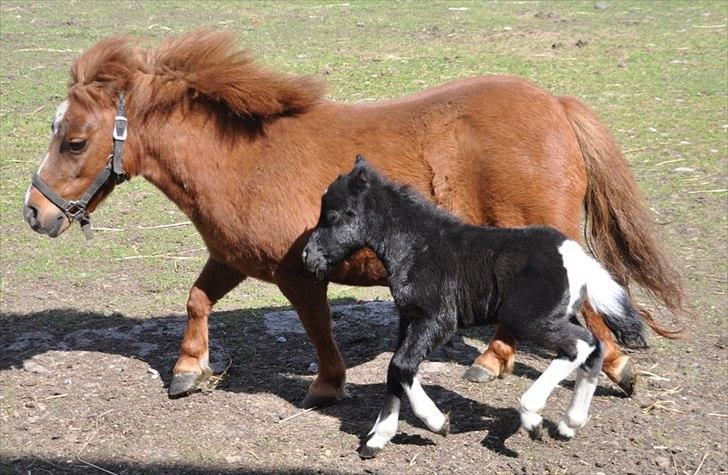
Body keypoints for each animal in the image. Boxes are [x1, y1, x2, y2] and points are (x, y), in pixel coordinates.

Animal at [24, 30, 684, 410]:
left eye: (75, 142)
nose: (34, 212)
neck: (240, 160)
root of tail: (556, 105)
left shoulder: (297, 270)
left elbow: (317, 327)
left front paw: (328, 385)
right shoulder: (232, 257)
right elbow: (196, 299)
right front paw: (189, 370)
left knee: (587, 308)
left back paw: (614, 365)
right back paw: (492, 363)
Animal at [304, 158, 644, 460]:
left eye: (332, 216)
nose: (308, 256)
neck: (417, 246)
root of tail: (574, 255)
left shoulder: (437, 319)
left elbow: (401, 366)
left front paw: (436, 422)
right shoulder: (408, 319)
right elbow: (395, 370)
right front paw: (377, 439)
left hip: (530, 320)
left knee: (579, 347)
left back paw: (532, 415)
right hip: (557, 316)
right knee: (595, 348)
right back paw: (569, 425)